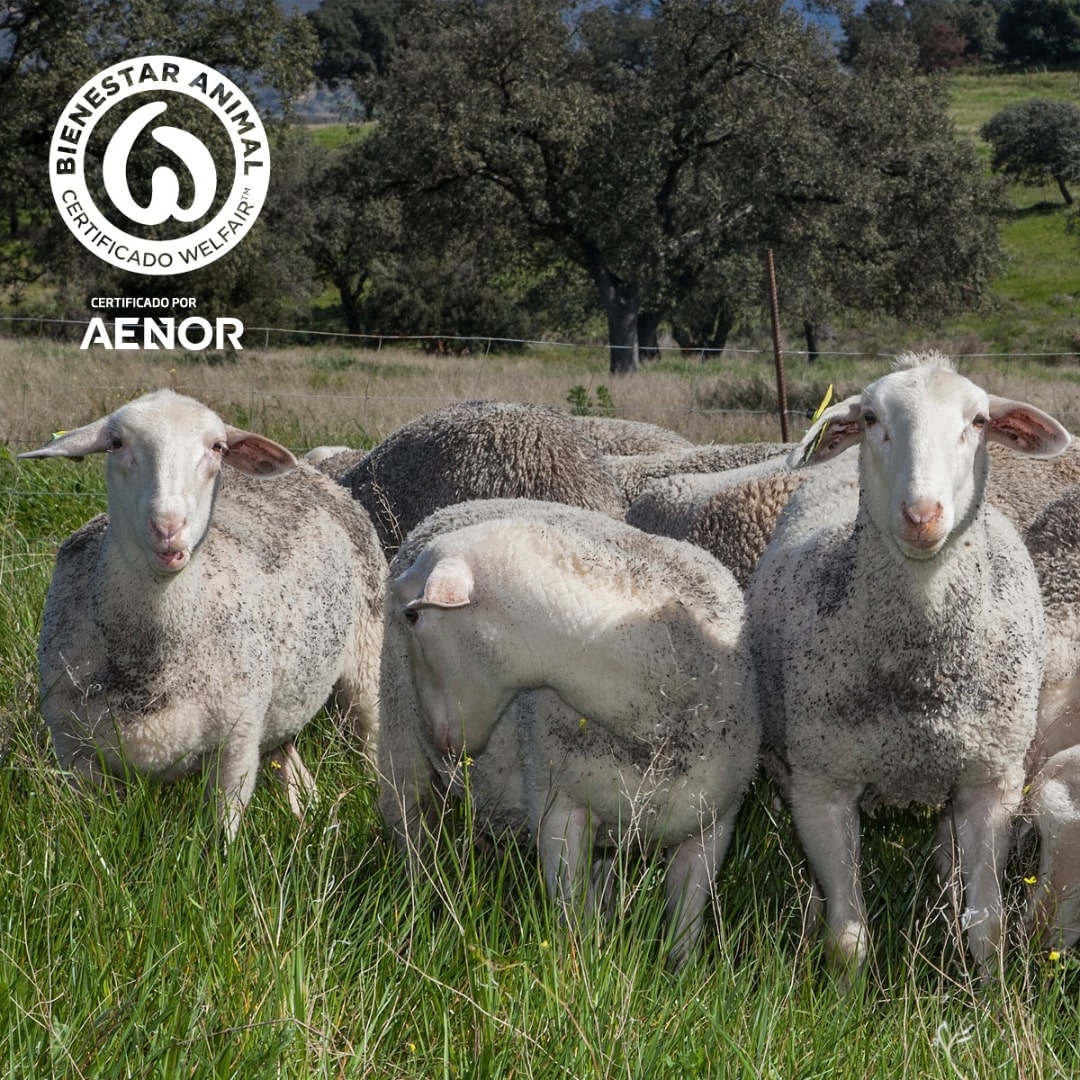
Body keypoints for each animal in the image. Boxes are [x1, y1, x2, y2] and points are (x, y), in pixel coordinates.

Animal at [20, 389, 385, 840]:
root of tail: (312, 472)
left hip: (369, 657)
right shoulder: (76, 754)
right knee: (291, 761)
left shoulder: (236, 745)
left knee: (371, 739)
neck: (150, 660)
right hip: (281, 703)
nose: (168, 527)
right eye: (116, 443)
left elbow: (222, 835)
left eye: (217, 447)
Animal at [383, 502, 759, 966]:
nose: (440, 738)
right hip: (398, 728)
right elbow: (570, 916)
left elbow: (685, 929)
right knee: (406, 815)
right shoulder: (559, 811)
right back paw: (417, 895)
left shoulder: (714, 826)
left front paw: (681, 974)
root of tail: (446, 510)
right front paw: (578, 967)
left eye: (413, 615)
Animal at [744, 352, 1071, 981]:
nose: (922, 514)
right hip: (789, 762)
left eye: (978, 421)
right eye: (871, 418)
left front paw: (987, 994)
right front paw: (842, 997)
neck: (921, 675)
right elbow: (847, 939)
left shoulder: (991, 784)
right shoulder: (824, 784)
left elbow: (988, 928)